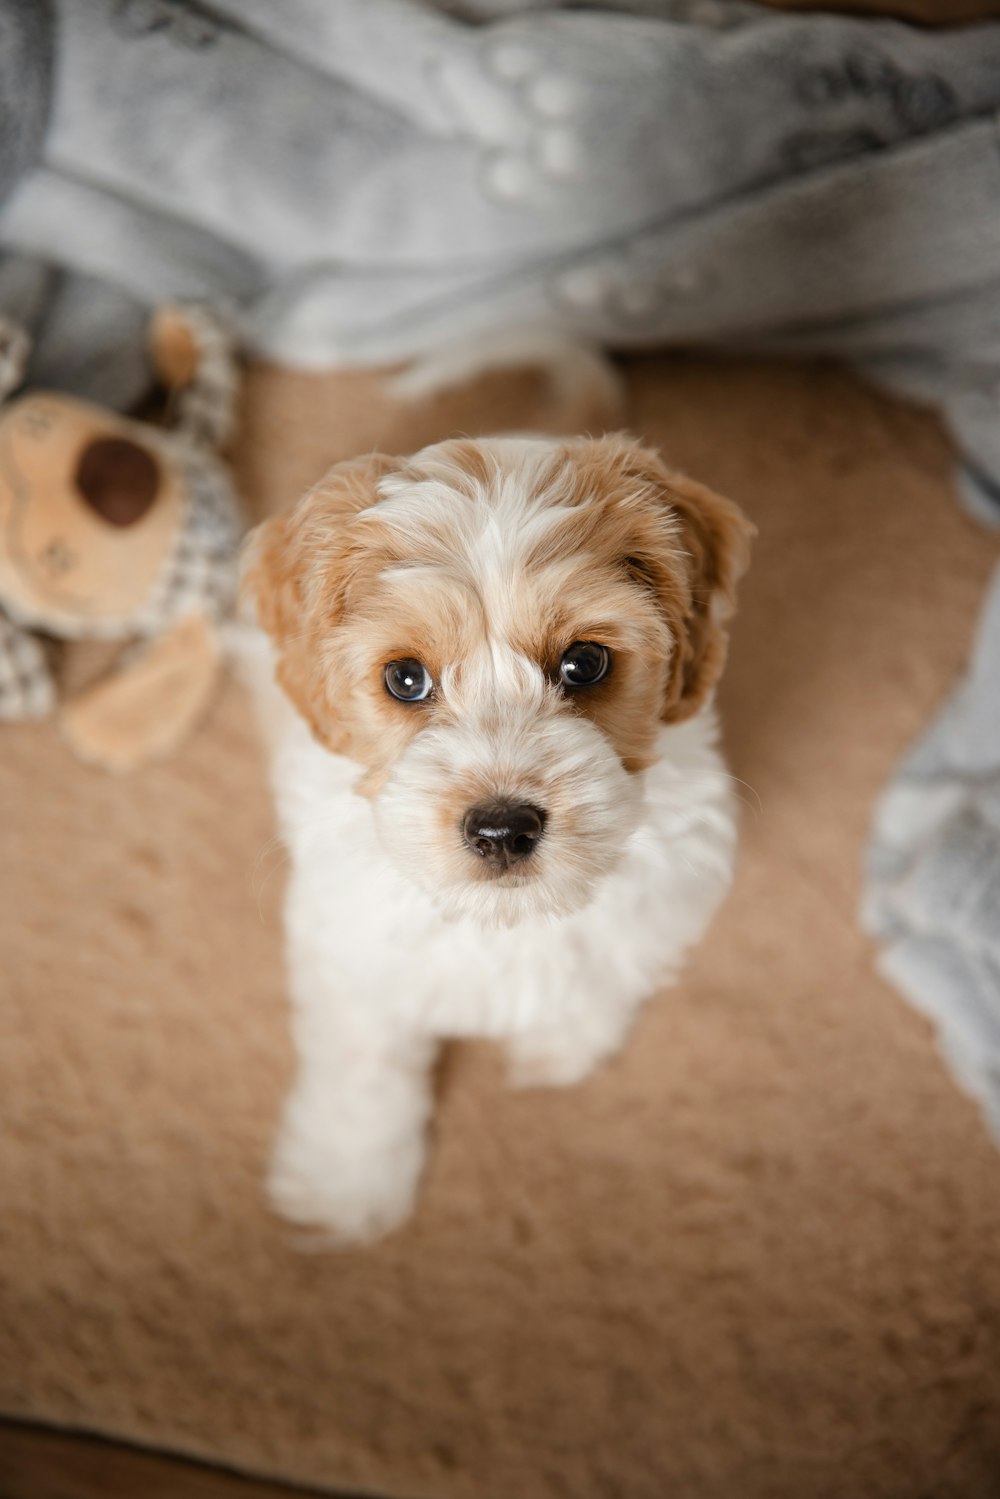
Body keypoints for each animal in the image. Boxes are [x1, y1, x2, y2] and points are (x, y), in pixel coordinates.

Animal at [239, 431, 749, 1241]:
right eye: (405, 678)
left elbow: (598, 982)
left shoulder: (657, 908)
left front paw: (556, 1050)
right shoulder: (354, 956)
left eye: (584, 662)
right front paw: (344, 1188)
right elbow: (363, 1075)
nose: (504, 827)